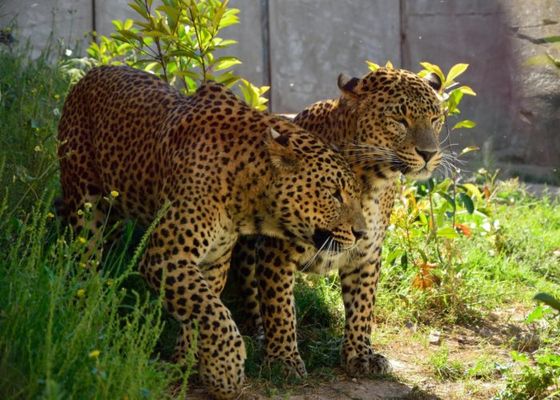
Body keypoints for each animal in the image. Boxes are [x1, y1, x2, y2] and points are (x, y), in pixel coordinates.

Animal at [57, 66, 368, 400]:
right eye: (334, 194)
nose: (362, 233)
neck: (246, 191)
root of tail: (90, 72)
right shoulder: (166, 256)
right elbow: (213, 313)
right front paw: (227, 372)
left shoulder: (214, 261)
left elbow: (199, 311)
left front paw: (189, 362)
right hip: (85, 206)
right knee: (83, 258)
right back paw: (86, 308)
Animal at [230, 66, 444, 378]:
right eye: (399, 120)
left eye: (436, 119)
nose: (429, 154)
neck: (371, 180)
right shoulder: (276, 250)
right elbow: (279, 306)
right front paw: (283, 360)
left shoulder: (367, 252)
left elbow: (362, 305)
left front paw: (360, 354)